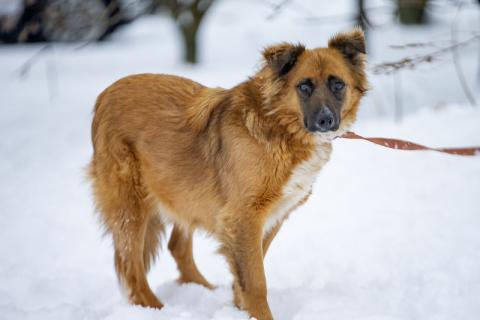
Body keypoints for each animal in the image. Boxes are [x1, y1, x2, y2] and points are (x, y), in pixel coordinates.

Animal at [89, 28, 368, 318]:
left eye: (338, 85)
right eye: (304, 86)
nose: (326, 120)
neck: (279, 125)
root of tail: (105, 95)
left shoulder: (269, 217)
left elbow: (244, 275)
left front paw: (239, 309)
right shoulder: (243, 217)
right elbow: (256, 282)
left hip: (183, 190)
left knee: (176, 247)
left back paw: (201, 291)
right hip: (131, 206)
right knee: (129, 266)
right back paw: (156, 308)